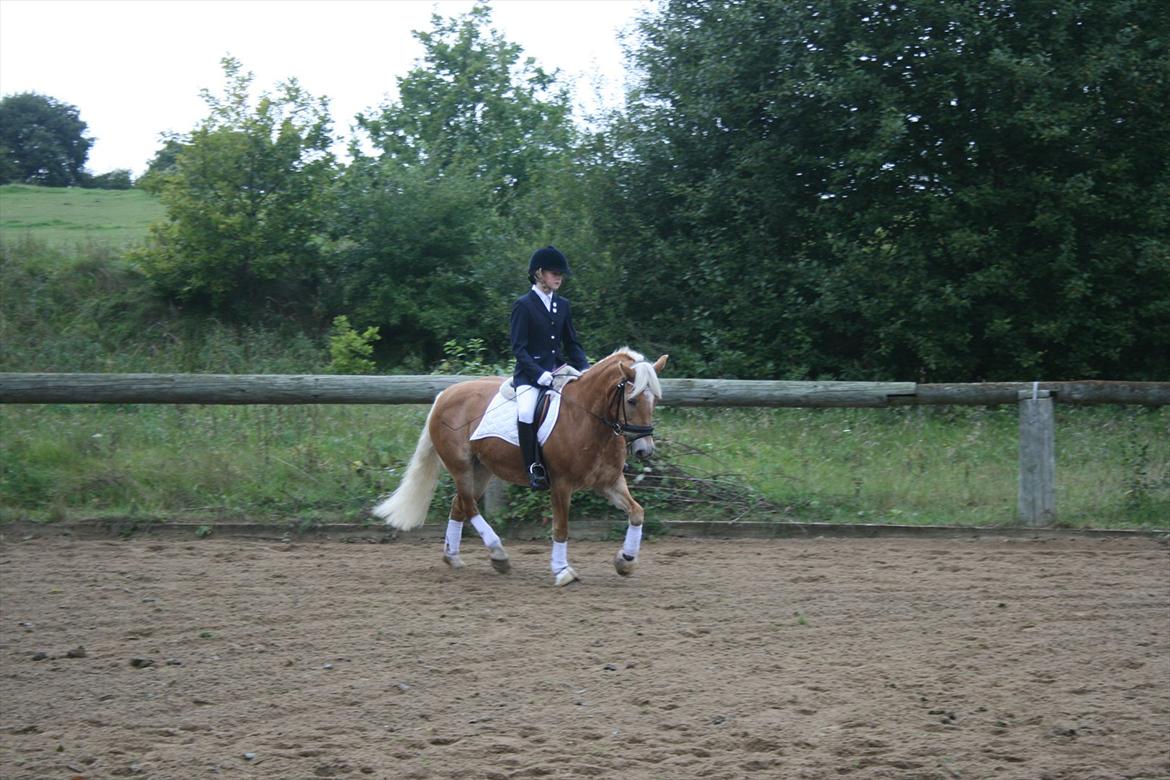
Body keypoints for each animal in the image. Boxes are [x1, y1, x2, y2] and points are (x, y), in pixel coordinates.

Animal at [374, 348, 669, 584]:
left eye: (655, 400)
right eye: (632, 400)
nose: (644, 450)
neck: (588, 417)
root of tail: (445, 395)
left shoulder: (608, 482)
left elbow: (637, 512)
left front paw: (625, 561)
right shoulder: (561, 484)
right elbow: (561, 528)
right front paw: (562, 571)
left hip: (481, 469)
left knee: (459, 505)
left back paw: (453, 557)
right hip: (460, 466)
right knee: (468, 506)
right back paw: (498, 554)